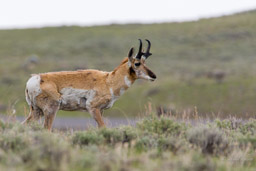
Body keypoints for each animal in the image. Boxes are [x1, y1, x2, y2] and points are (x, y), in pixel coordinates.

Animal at [22, 39, 156, 130]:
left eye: (145, 62)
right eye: (137, 63)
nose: (154, 76)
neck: (108, 81)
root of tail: (34, 79)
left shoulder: (101, 110)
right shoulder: (93, 108)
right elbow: (103, 127)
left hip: (36, 111)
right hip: (51, 110)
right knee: (46, 129)